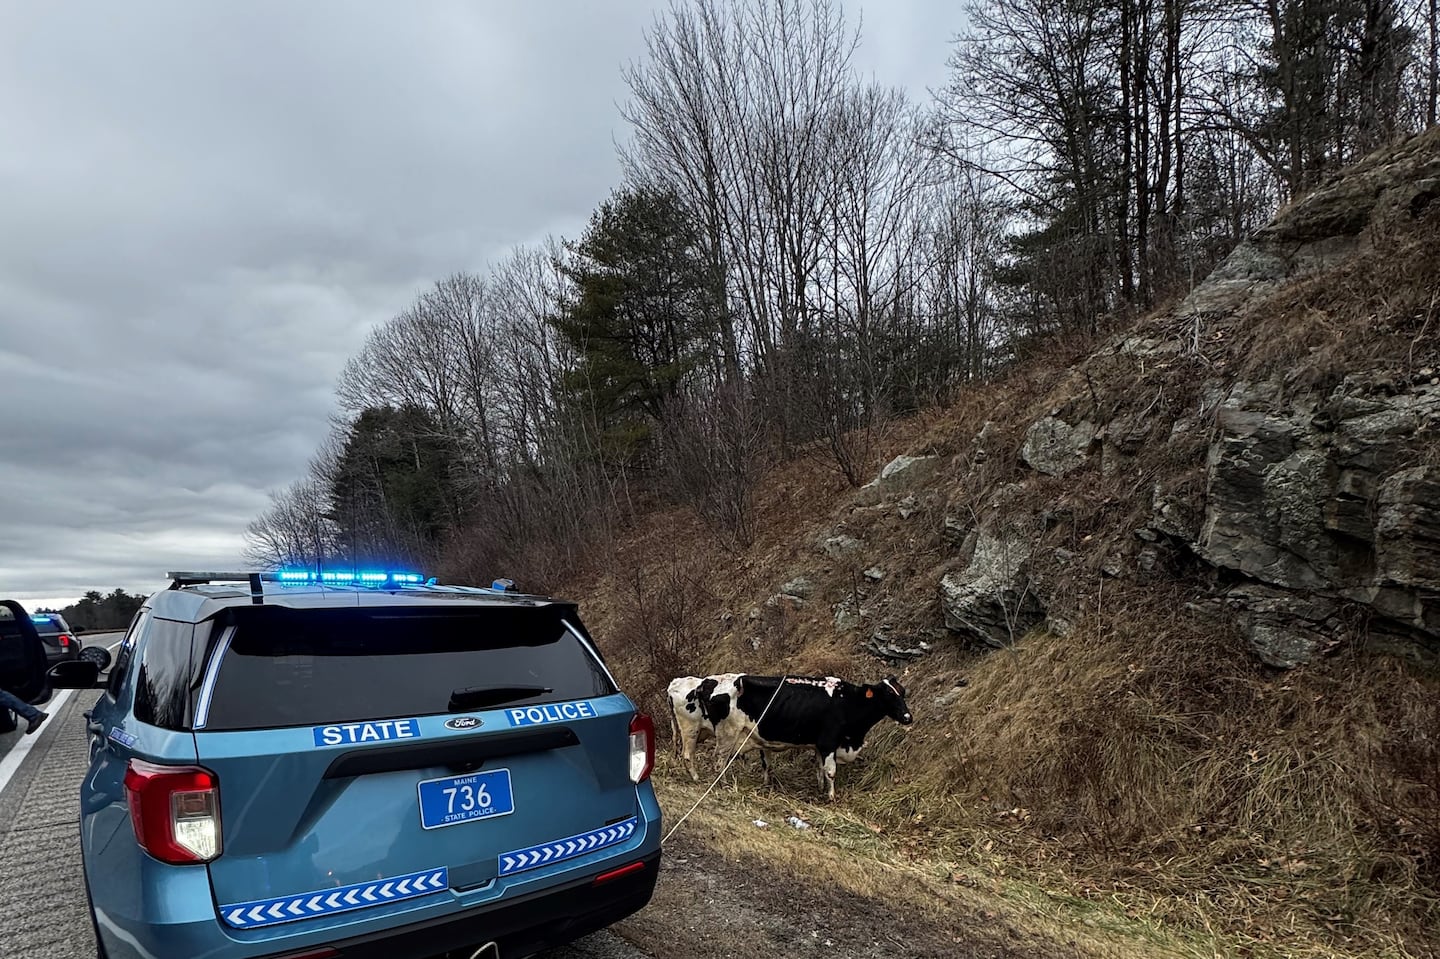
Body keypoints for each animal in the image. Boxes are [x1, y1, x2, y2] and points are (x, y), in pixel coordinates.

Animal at [696, 671, 910, 800]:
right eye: (888, 695)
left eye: (902, 693)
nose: (908, 717)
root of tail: (709, 681)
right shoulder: (828, 742)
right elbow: (830, 771)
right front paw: (831, 797)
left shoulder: (819, 746)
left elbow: (819, 768)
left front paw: (821, 789)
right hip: (727, 734)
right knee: (720, 760)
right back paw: (722, 783)